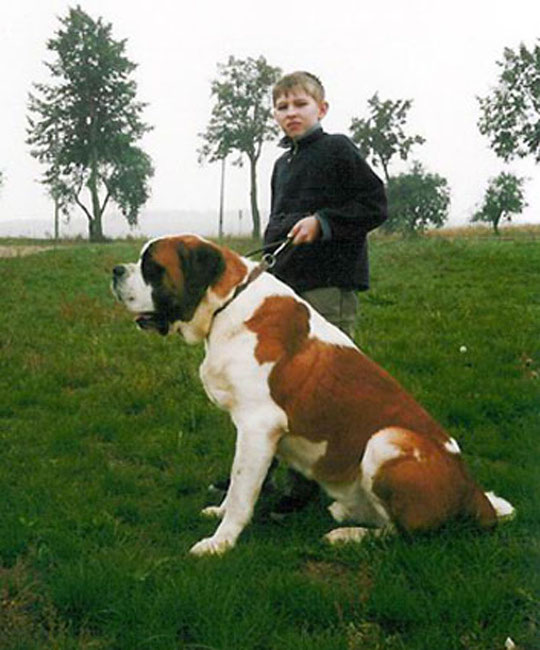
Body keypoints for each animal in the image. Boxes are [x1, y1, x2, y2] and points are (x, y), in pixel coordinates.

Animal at [111, 234, 514, 556]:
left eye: (151, 267)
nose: (115, 270)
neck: (227, 303)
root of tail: (473, 491)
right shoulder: (259, 433)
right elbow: (243, 481)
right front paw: (221, 512)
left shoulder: (259, 425)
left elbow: (243, 489)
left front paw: (219, 542)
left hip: (387, 440)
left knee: (404, 533)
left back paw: (347, 535)